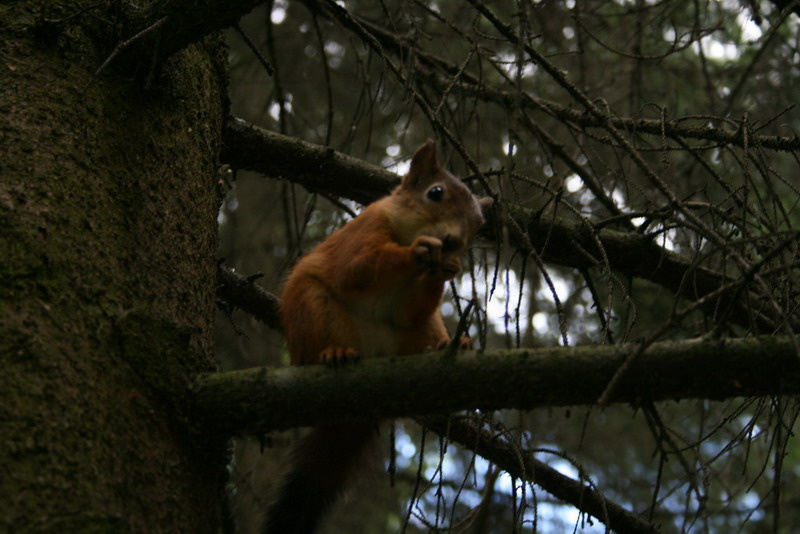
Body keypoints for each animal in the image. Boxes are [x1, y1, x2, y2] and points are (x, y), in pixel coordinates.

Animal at [263, 140, 492, 534]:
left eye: (479, 225)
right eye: (435, 193)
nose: (452, 243)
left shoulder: (411, 306)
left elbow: (408, 310)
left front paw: (446, 268)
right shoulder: (362, 233)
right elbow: (356, 269)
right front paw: (416, 252)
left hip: (416, 333)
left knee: (422, 328)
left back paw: (448, 345)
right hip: (312, 309)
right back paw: (335, 352)